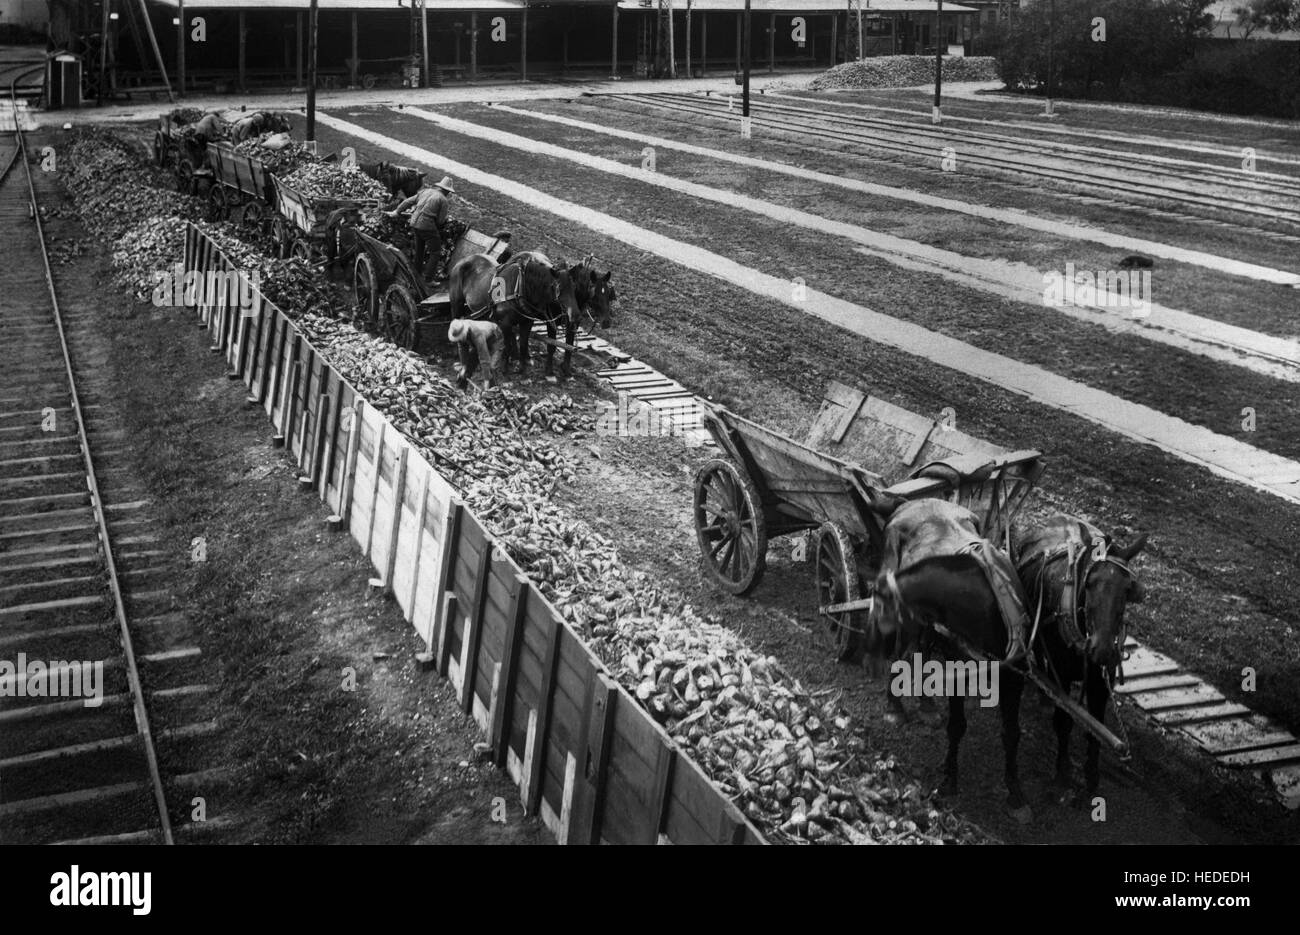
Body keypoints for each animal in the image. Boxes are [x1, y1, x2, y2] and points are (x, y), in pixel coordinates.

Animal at [1013, 514, 1149, 806]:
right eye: (1090, 582)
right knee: (1039, 656)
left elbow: (1095, 730)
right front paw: (1063, 773)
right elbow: (1063, 721)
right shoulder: (1063, 674)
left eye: (1128, 589)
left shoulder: (1100, 680)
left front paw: (1091, 779)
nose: (1101, 649)